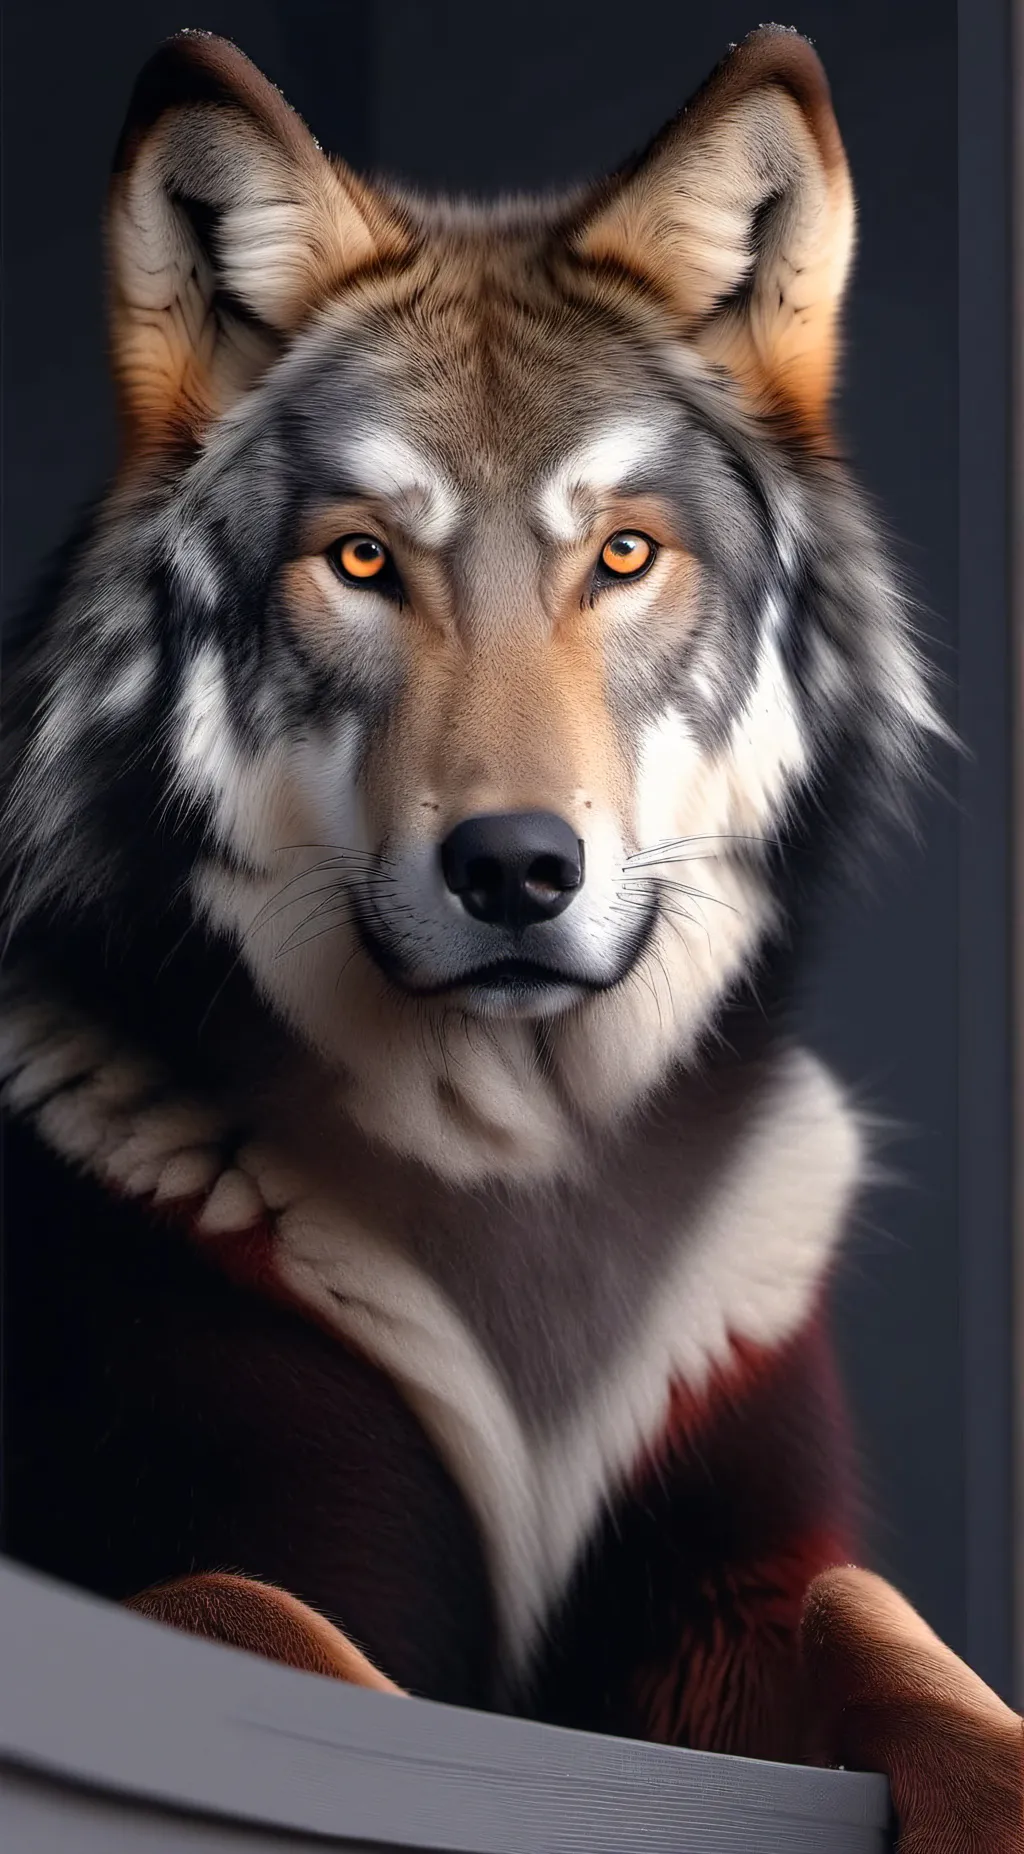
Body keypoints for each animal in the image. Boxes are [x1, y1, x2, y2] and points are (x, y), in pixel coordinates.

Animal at [2, 25, 1021, 1844]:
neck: (520, 1191)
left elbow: (909, 1650)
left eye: (620, 552)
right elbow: (283, 1638)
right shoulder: (206, 1563)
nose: (516, 868)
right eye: (359, 559)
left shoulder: (736, 1577)